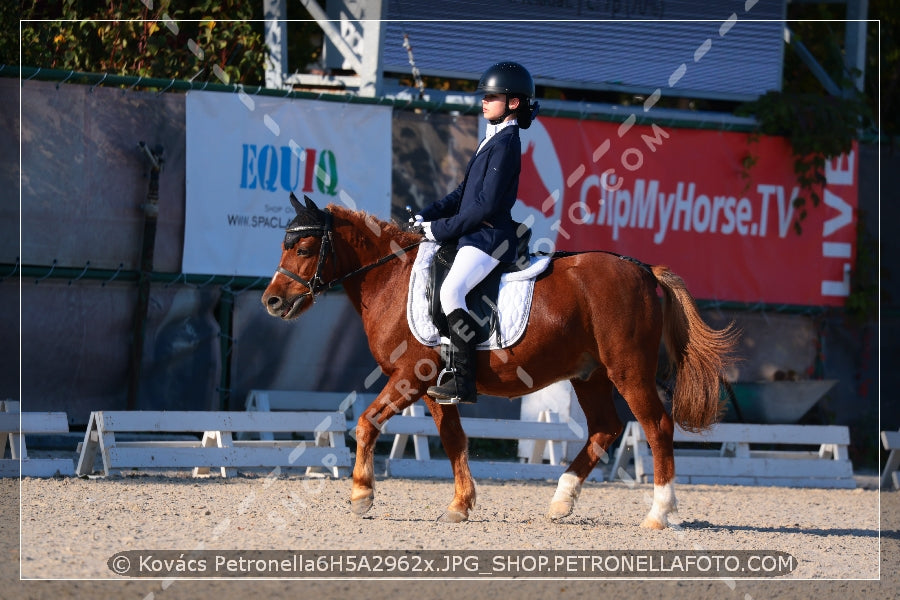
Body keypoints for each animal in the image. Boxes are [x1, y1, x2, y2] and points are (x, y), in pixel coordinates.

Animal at [260, 193, 740, 528]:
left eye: (304, 248)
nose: (272, 302)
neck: (390, 279)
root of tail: (641, 268)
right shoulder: (434, 385)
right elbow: (454, 440)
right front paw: (459, 505)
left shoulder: (408, 377)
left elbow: (366, 422)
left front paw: (361, 495)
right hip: (590, 375)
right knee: (606, 427)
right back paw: (561, 500)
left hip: (628, 370)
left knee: (656, 427)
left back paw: (658, 513)